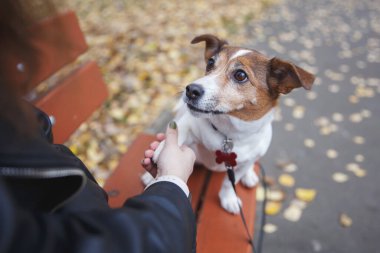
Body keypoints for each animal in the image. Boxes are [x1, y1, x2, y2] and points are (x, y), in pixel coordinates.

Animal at [142, 34, 314, 214]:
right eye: (210, 63)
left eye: (240, 75)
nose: (190, 90)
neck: (229, 133)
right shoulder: (189, 123)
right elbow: (179, 130)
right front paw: (162, 149)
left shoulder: (241, 165)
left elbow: (230, 183)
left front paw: (229, 199)